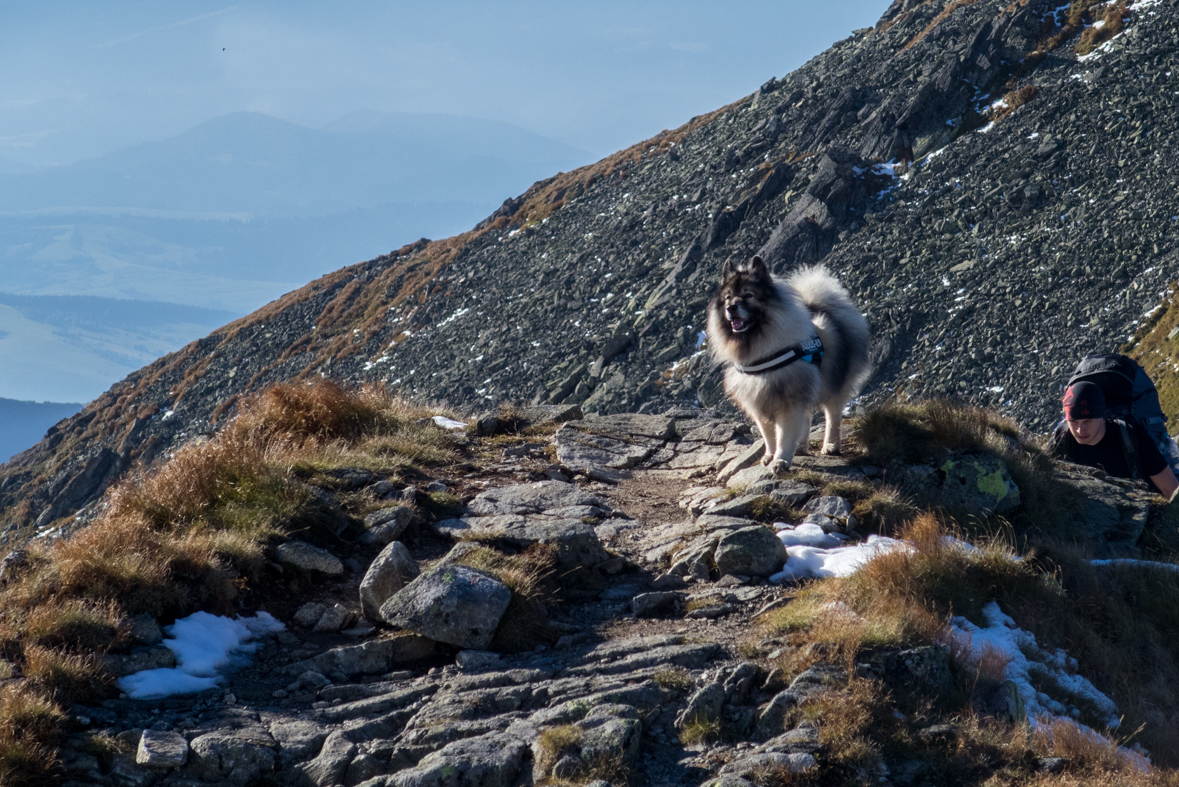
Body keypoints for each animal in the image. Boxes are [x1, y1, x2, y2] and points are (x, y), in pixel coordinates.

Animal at [702, 255, 872, 471]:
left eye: (748, 295)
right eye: (728, 298)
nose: (731, 308)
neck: (760, 350)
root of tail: (823, 308)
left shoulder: (788, 399)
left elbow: (784, 433)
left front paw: (781, 460)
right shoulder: (758, 400)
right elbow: (769, 434)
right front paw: (770, 455)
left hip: (834, 381)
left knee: (832, 415)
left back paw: (831, 445)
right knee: (807, 416)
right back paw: (800, 446)